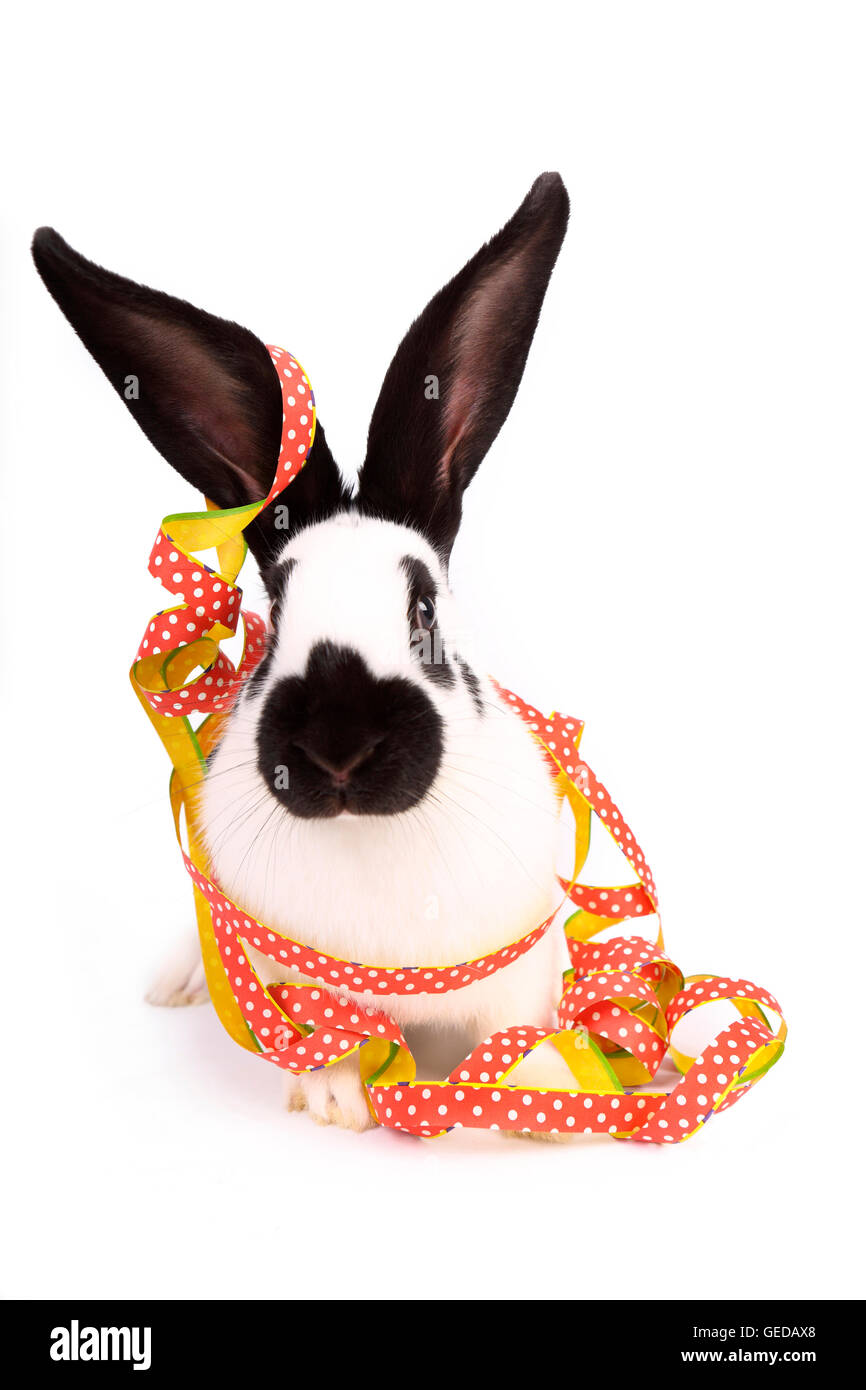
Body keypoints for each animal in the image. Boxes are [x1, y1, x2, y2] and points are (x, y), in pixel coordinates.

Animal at [33, 170, 578, 1128]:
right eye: (275, 616)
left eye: (424, 613)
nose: (338, 749)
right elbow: (331, 1038)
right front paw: (333, 1099)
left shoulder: (523, 963)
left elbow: (515, 1032)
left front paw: (538, 1089)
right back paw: (175, 985)